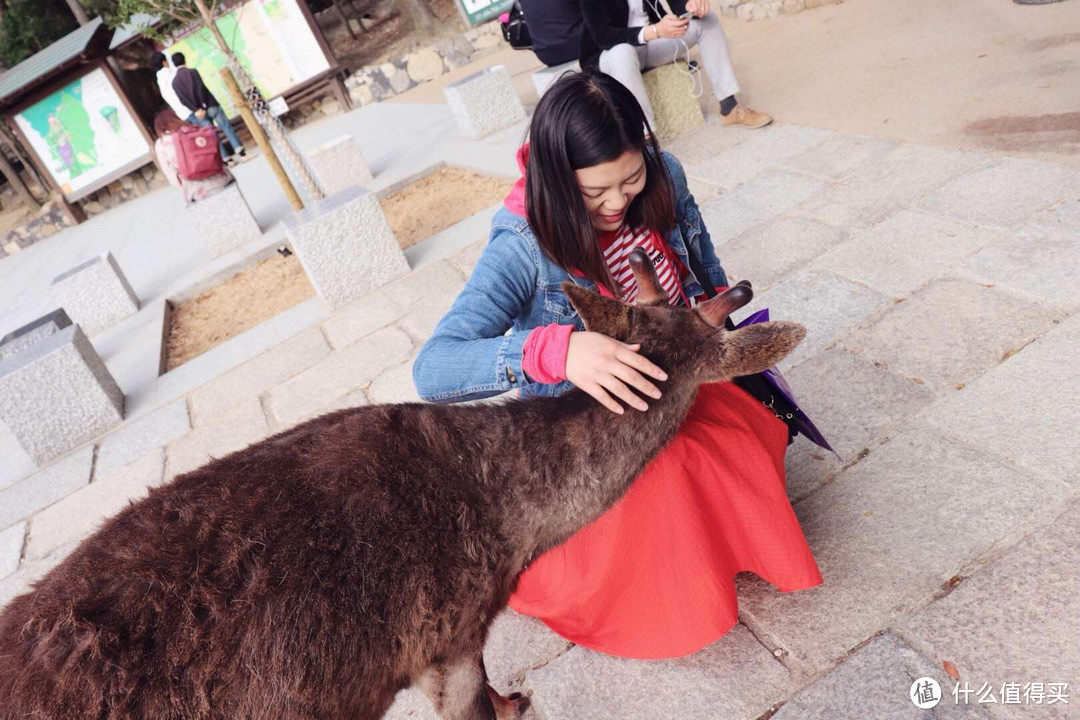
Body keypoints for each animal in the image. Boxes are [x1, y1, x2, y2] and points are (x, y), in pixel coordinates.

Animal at [0, 249, 803, 720]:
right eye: (709, 331)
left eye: (678, 305)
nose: (739, 283)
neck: (510, 529)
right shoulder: (441, 642)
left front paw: (517, 700)